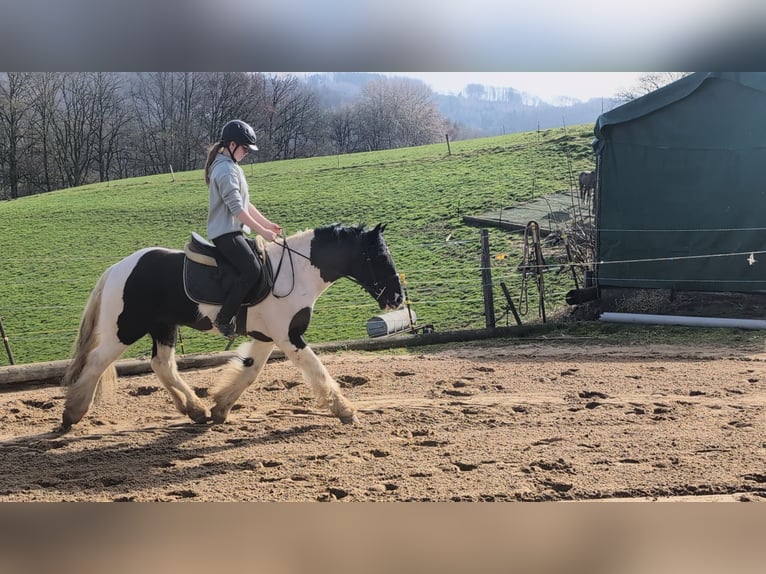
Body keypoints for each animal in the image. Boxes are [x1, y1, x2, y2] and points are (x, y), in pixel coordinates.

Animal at [60, 223, 404, 431]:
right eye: (379, 256)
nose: (398, 298)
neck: (297, 272)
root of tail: (119, 268)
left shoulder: (267, 337)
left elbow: (250, 370)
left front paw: (220, 408)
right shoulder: (288, 336)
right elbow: (316, 369)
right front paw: (345, 410)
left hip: (163, 327)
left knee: (162, 365)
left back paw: (195, 410)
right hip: (126, 329)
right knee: (96, 362)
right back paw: (72, 413)